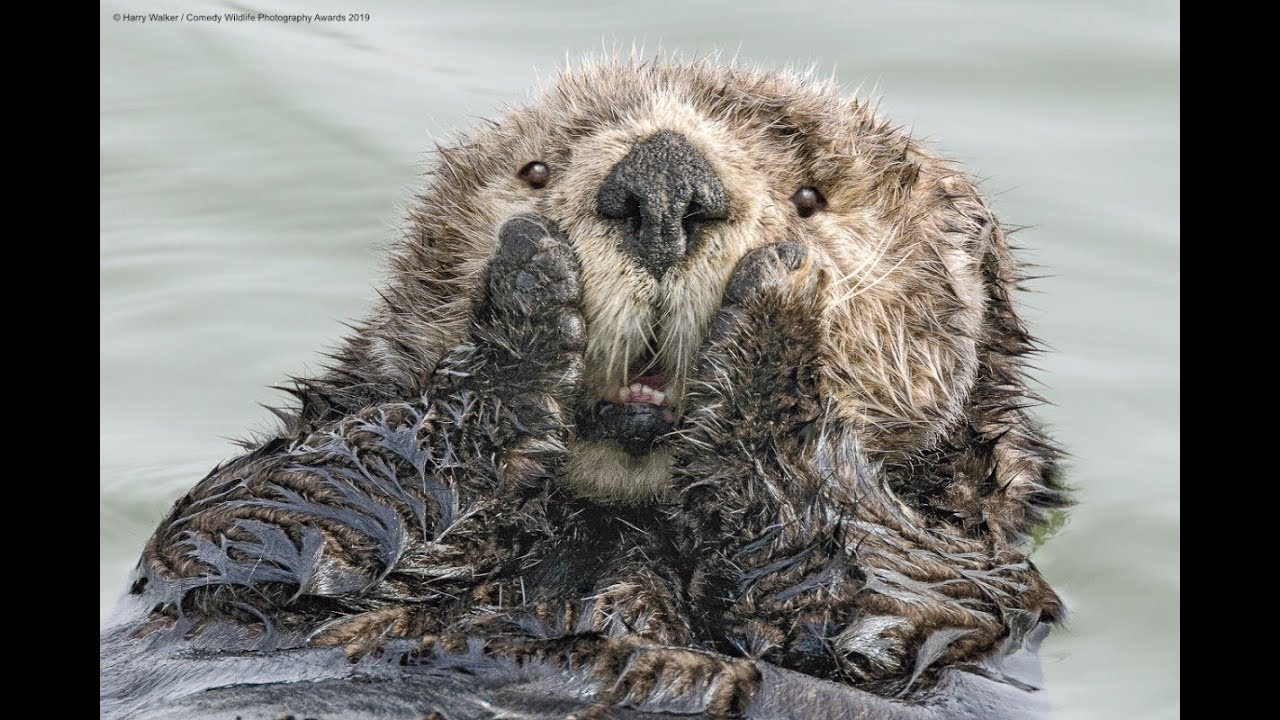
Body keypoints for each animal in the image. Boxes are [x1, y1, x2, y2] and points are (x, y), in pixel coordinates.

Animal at [100, 58, 1067, 719]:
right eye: (535, 171)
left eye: (809, 197)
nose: (664, 182)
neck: (616, 524)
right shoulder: (228, 554)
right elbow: (267, 517)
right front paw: (527, 296)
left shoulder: (974, 593)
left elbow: (872, 593)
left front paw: (779, 310)